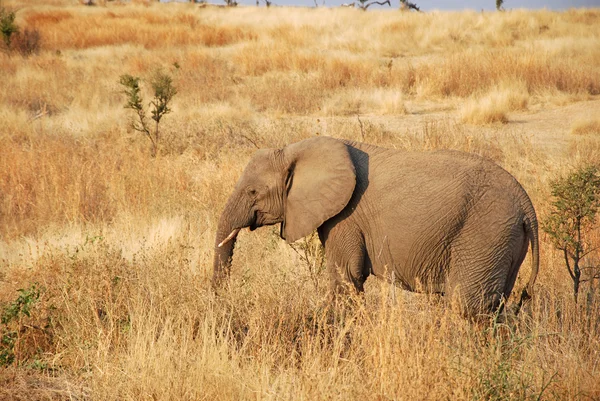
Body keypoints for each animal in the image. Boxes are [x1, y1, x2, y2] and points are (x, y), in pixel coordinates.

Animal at [212, 136, 540, 318]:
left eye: (253, 192)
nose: (220, 304)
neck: (295, 150)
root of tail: (527, 205)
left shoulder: (345, 217)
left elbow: (346, 279)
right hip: (503, 242)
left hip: (486, 235)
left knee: (469, 306)